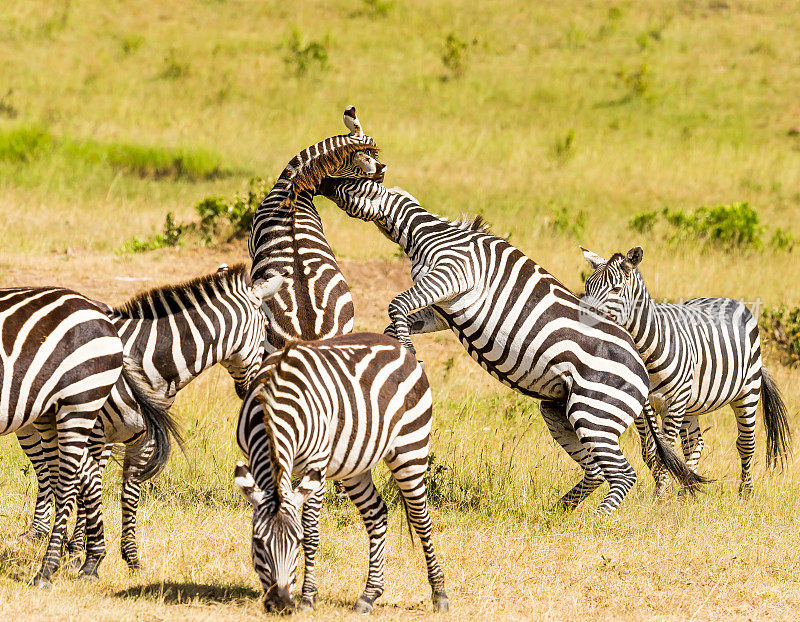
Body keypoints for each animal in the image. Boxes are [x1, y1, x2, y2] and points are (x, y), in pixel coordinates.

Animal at [233, 336, 450, 616]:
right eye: (258, 542)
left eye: (297, 543)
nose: (281, 604)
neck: (273, 408)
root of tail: (398, 346)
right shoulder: (254, 458)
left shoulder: (316, 464)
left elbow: (312, 530)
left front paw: (308, 597)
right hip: (354, 463)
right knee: (377, 513)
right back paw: (369, 595)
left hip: (411, 448)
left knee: (420, 518)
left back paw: (439, 593)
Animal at [316, 178, 704, 516]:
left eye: (351, 179)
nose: (323, 182)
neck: (426, 235)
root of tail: (642, 371)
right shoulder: (441, 309)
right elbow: (401, 318)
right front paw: (395, 352)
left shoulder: (452, 277)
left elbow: (396, 303)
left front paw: (407, 350)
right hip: (561, 411)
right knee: (596, 470)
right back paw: (557, 514)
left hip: (595, 410)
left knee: (623, 474)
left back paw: (596, 523)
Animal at [580, 246, 792, 494]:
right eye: (587, 286)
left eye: (616, 289)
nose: (583, 317)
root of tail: (728, 300)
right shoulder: (643, 407)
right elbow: (650, 451)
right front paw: (666, 489)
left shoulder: (674, 404)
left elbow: (665, 451)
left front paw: (661, 496)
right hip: (692, 404)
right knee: (694, 442)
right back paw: (687, 491)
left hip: (747, 392)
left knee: (745, 443)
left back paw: (745, 493)